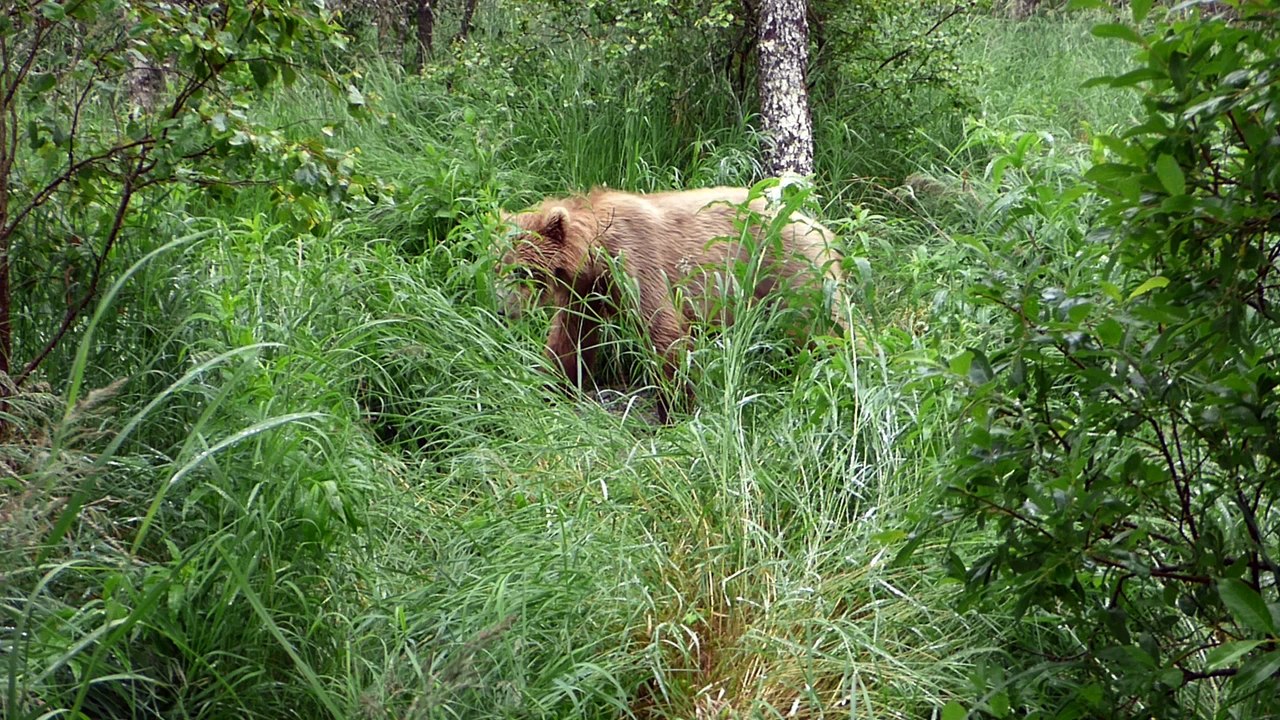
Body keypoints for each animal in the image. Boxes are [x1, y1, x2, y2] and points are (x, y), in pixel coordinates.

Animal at [495, 185, 848, 423]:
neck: (594, 253)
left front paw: (675, 411)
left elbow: (664, 333)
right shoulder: (586, 292)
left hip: (791, 271)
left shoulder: (636, 261)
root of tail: (819, 226)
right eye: (499, 266)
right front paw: (552, 388)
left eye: (522, 270)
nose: (501, 309)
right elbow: (571, 339)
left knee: (825, 326)